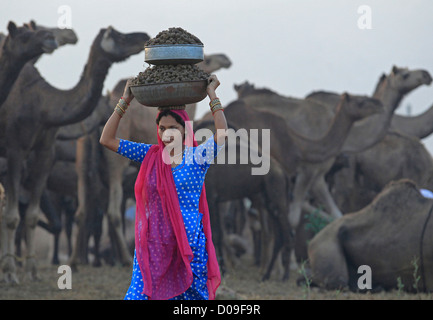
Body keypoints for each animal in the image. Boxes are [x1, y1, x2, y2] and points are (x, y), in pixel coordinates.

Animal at [0, 26, 150, 282]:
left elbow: (31, 216)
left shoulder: (46, 151)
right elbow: (12, 217)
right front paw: (11, 272)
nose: (145, 37)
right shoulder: (15, 149)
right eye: (119, 35)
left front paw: (32, 271)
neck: (44, 104)